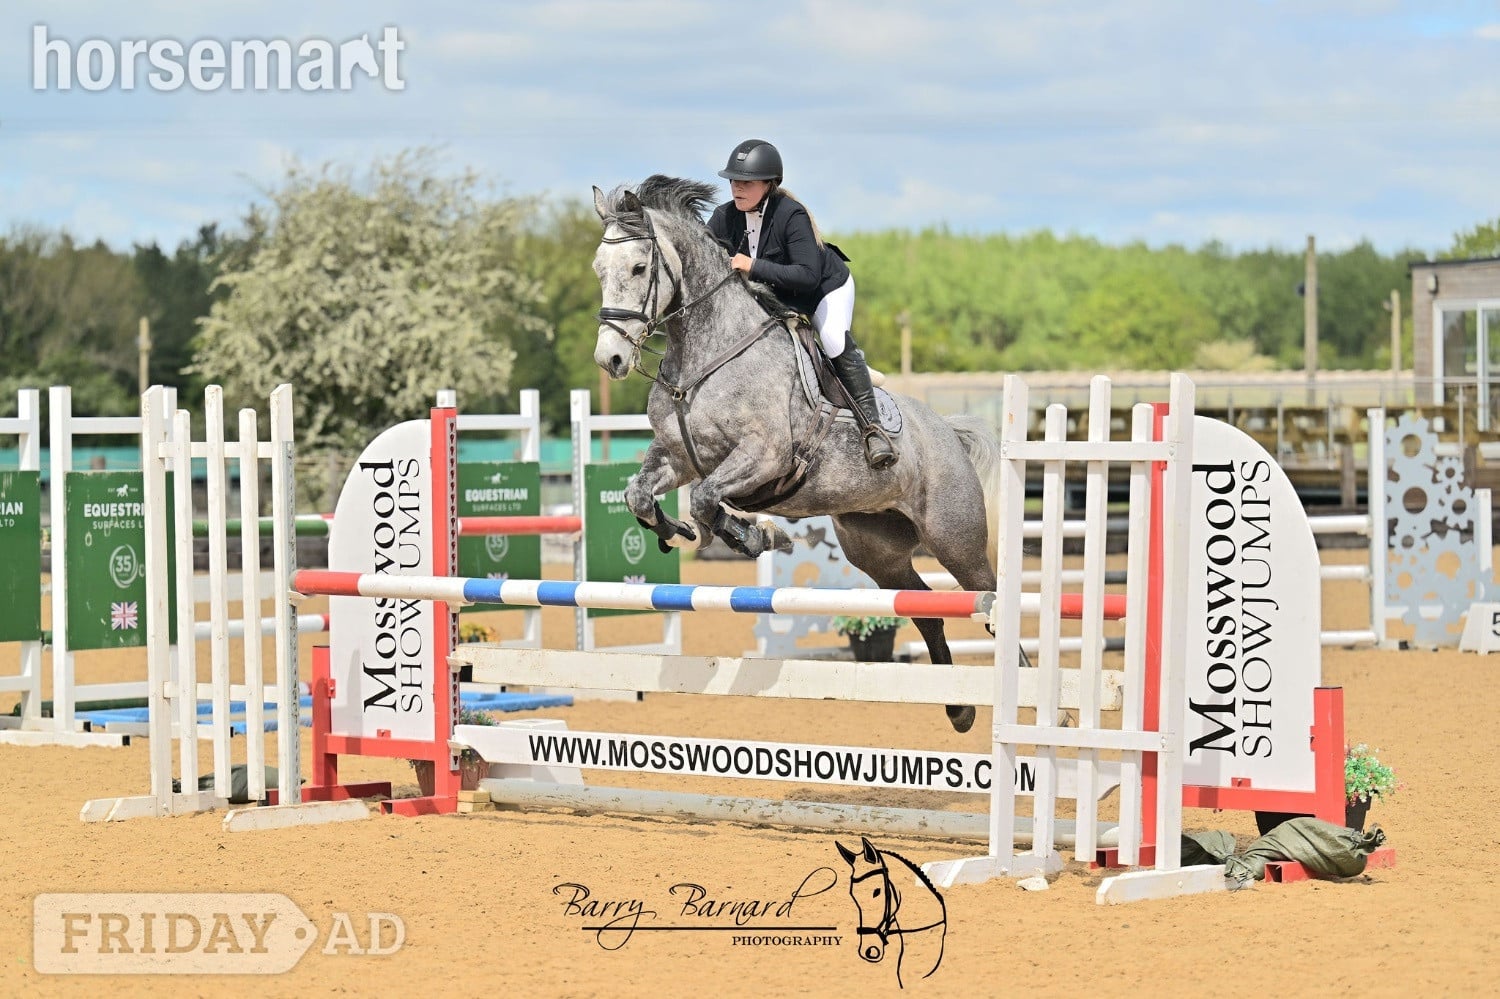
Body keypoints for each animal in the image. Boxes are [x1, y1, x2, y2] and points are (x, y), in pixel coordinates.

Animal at [590, 175, 1002, 733]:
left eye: (638, 267)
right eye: (599, 268)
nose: (609, 359)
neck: (705, 352)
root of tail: (948, 433)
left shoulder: (764, 456)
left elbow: (705, 499)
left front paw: (754, 535)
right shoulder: (679, 457)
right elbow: (641, 496)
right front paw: (679, 531)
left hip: (955, 540)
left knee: (992, 601)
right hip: (877, 550)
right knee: (926, 608)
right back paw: (959, 709)